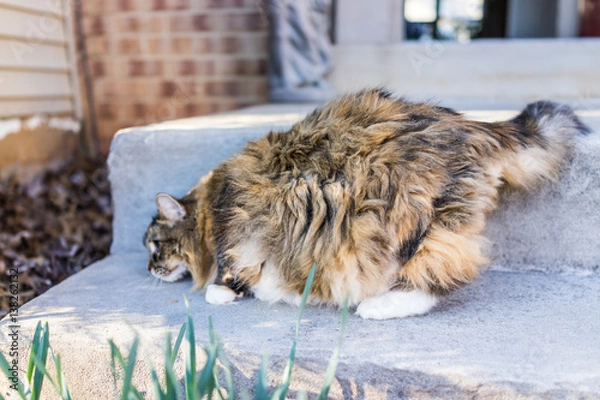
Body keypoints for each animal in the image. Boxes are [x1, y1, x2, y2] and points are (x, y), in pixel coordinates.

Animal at [143, 89, 588, 320]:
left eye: (154, 245)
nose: (148, 268)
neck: (210, 202)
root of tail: (471, 124)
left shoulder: (232, 229)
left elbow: (226, 270)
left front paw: (221, 291)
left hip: (408, 223)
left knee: (435, 282)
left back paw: (375, 306)